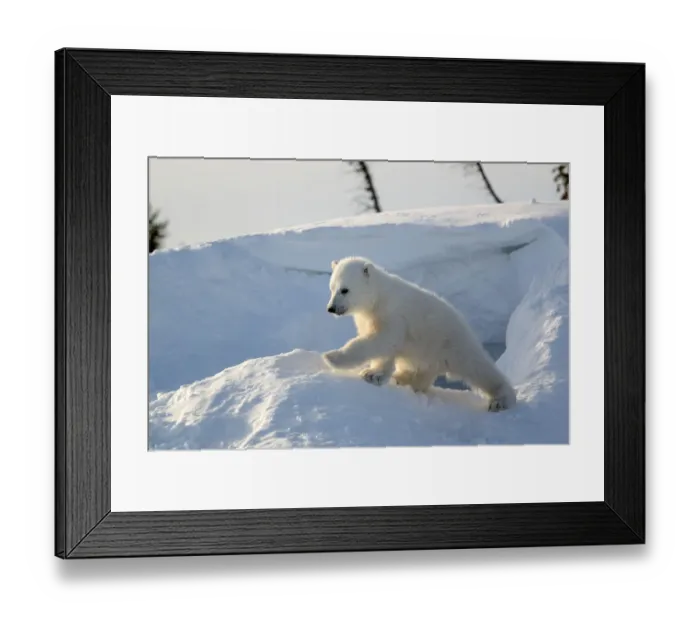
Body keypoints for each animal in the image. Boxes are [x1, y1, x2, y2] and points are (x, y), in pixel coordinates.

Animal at [322, 256, 517, 412]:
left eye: (345, 289)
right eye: (331, 288)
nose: (331, 308)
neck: (378, 299)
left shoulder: (393, 316)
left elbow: (382, 340)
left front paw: (332, 357)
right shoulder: (368, 318)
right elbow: (383, 347)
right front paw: (374, 374)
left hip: (451, 342)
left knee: (478, 367)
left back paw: (501, 400)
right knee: (422, 372)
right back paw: (403, 378)